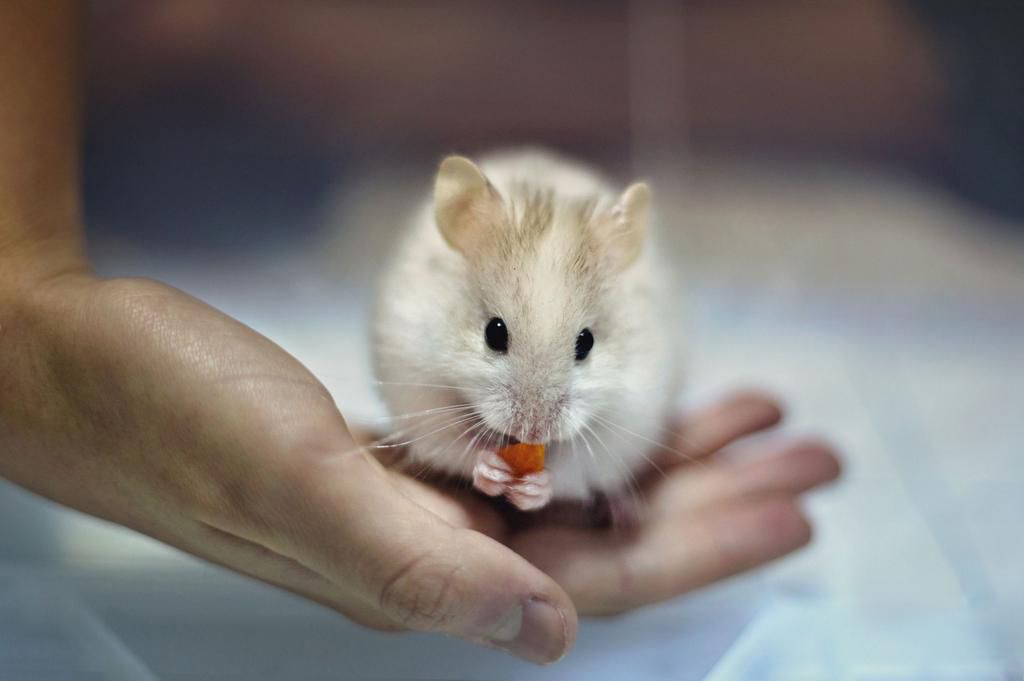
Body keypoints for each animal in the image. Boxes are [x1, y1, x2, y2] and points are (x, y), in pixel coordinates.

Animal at [372, 148, 681, 512]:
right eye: (494, 333)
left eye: (586, 343)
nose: (533, 432)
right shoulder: (419, 392)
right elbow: (455, 447)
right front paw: (491, 469)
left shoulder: (626, 421)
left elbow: (572, 470)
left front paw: (533, 488)